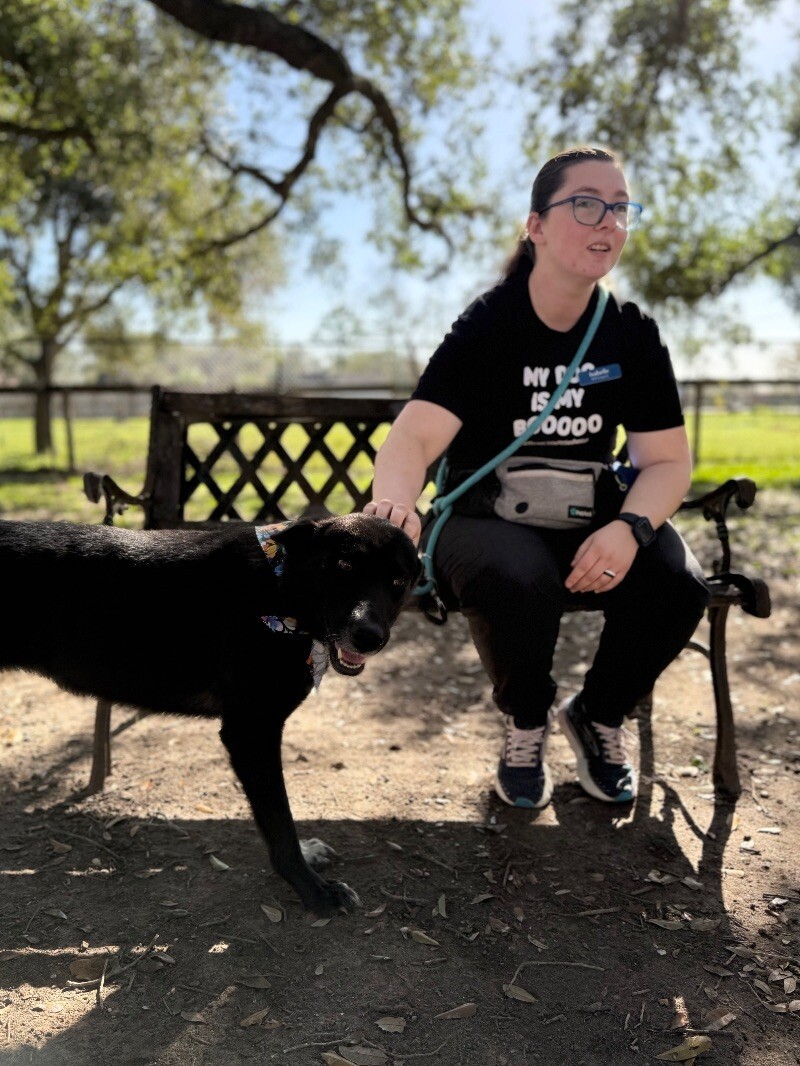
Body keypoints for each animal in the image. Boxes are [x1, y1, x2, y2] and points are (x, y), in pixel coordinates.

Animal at [0, 515, 422, 916]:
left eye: (398, 580)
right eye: (344, 564)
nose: (369, 637)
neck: (280, 586)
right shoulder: (250, 731)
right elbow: (280, 825)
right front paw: (314, 891)